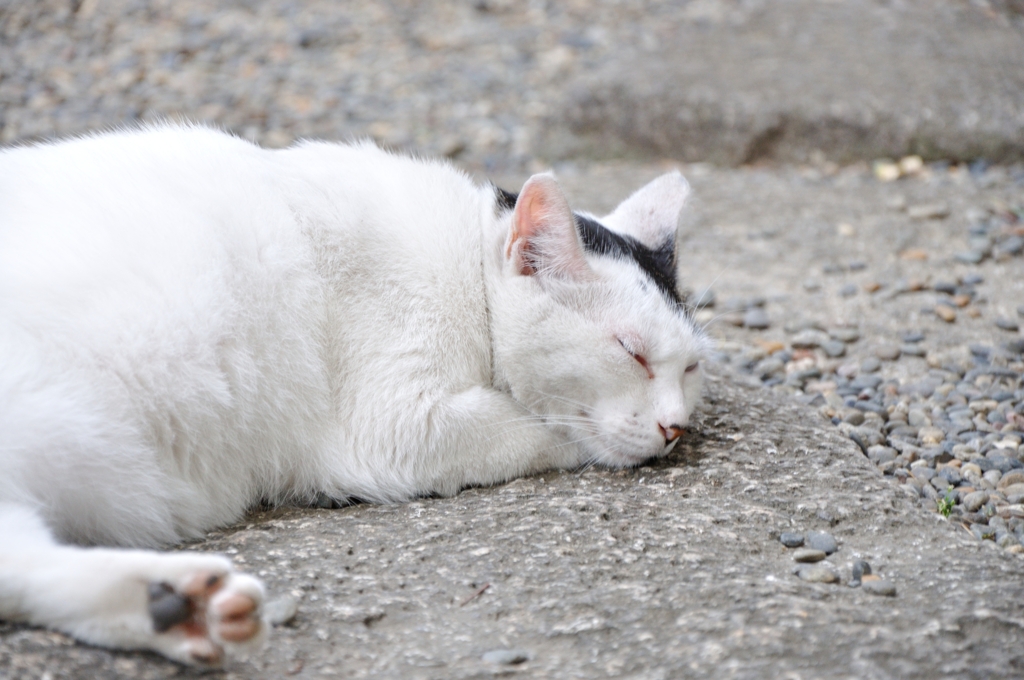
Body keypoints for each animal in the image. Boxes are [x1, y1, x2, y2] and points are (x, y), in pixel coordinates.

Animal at [0, 125, 704, 663]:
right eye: (632, 352)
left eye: (692, 368)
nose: (675, 428)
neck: (463, 263)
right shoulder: (399, 424)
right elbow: (542, 427)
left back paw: (175, 607)